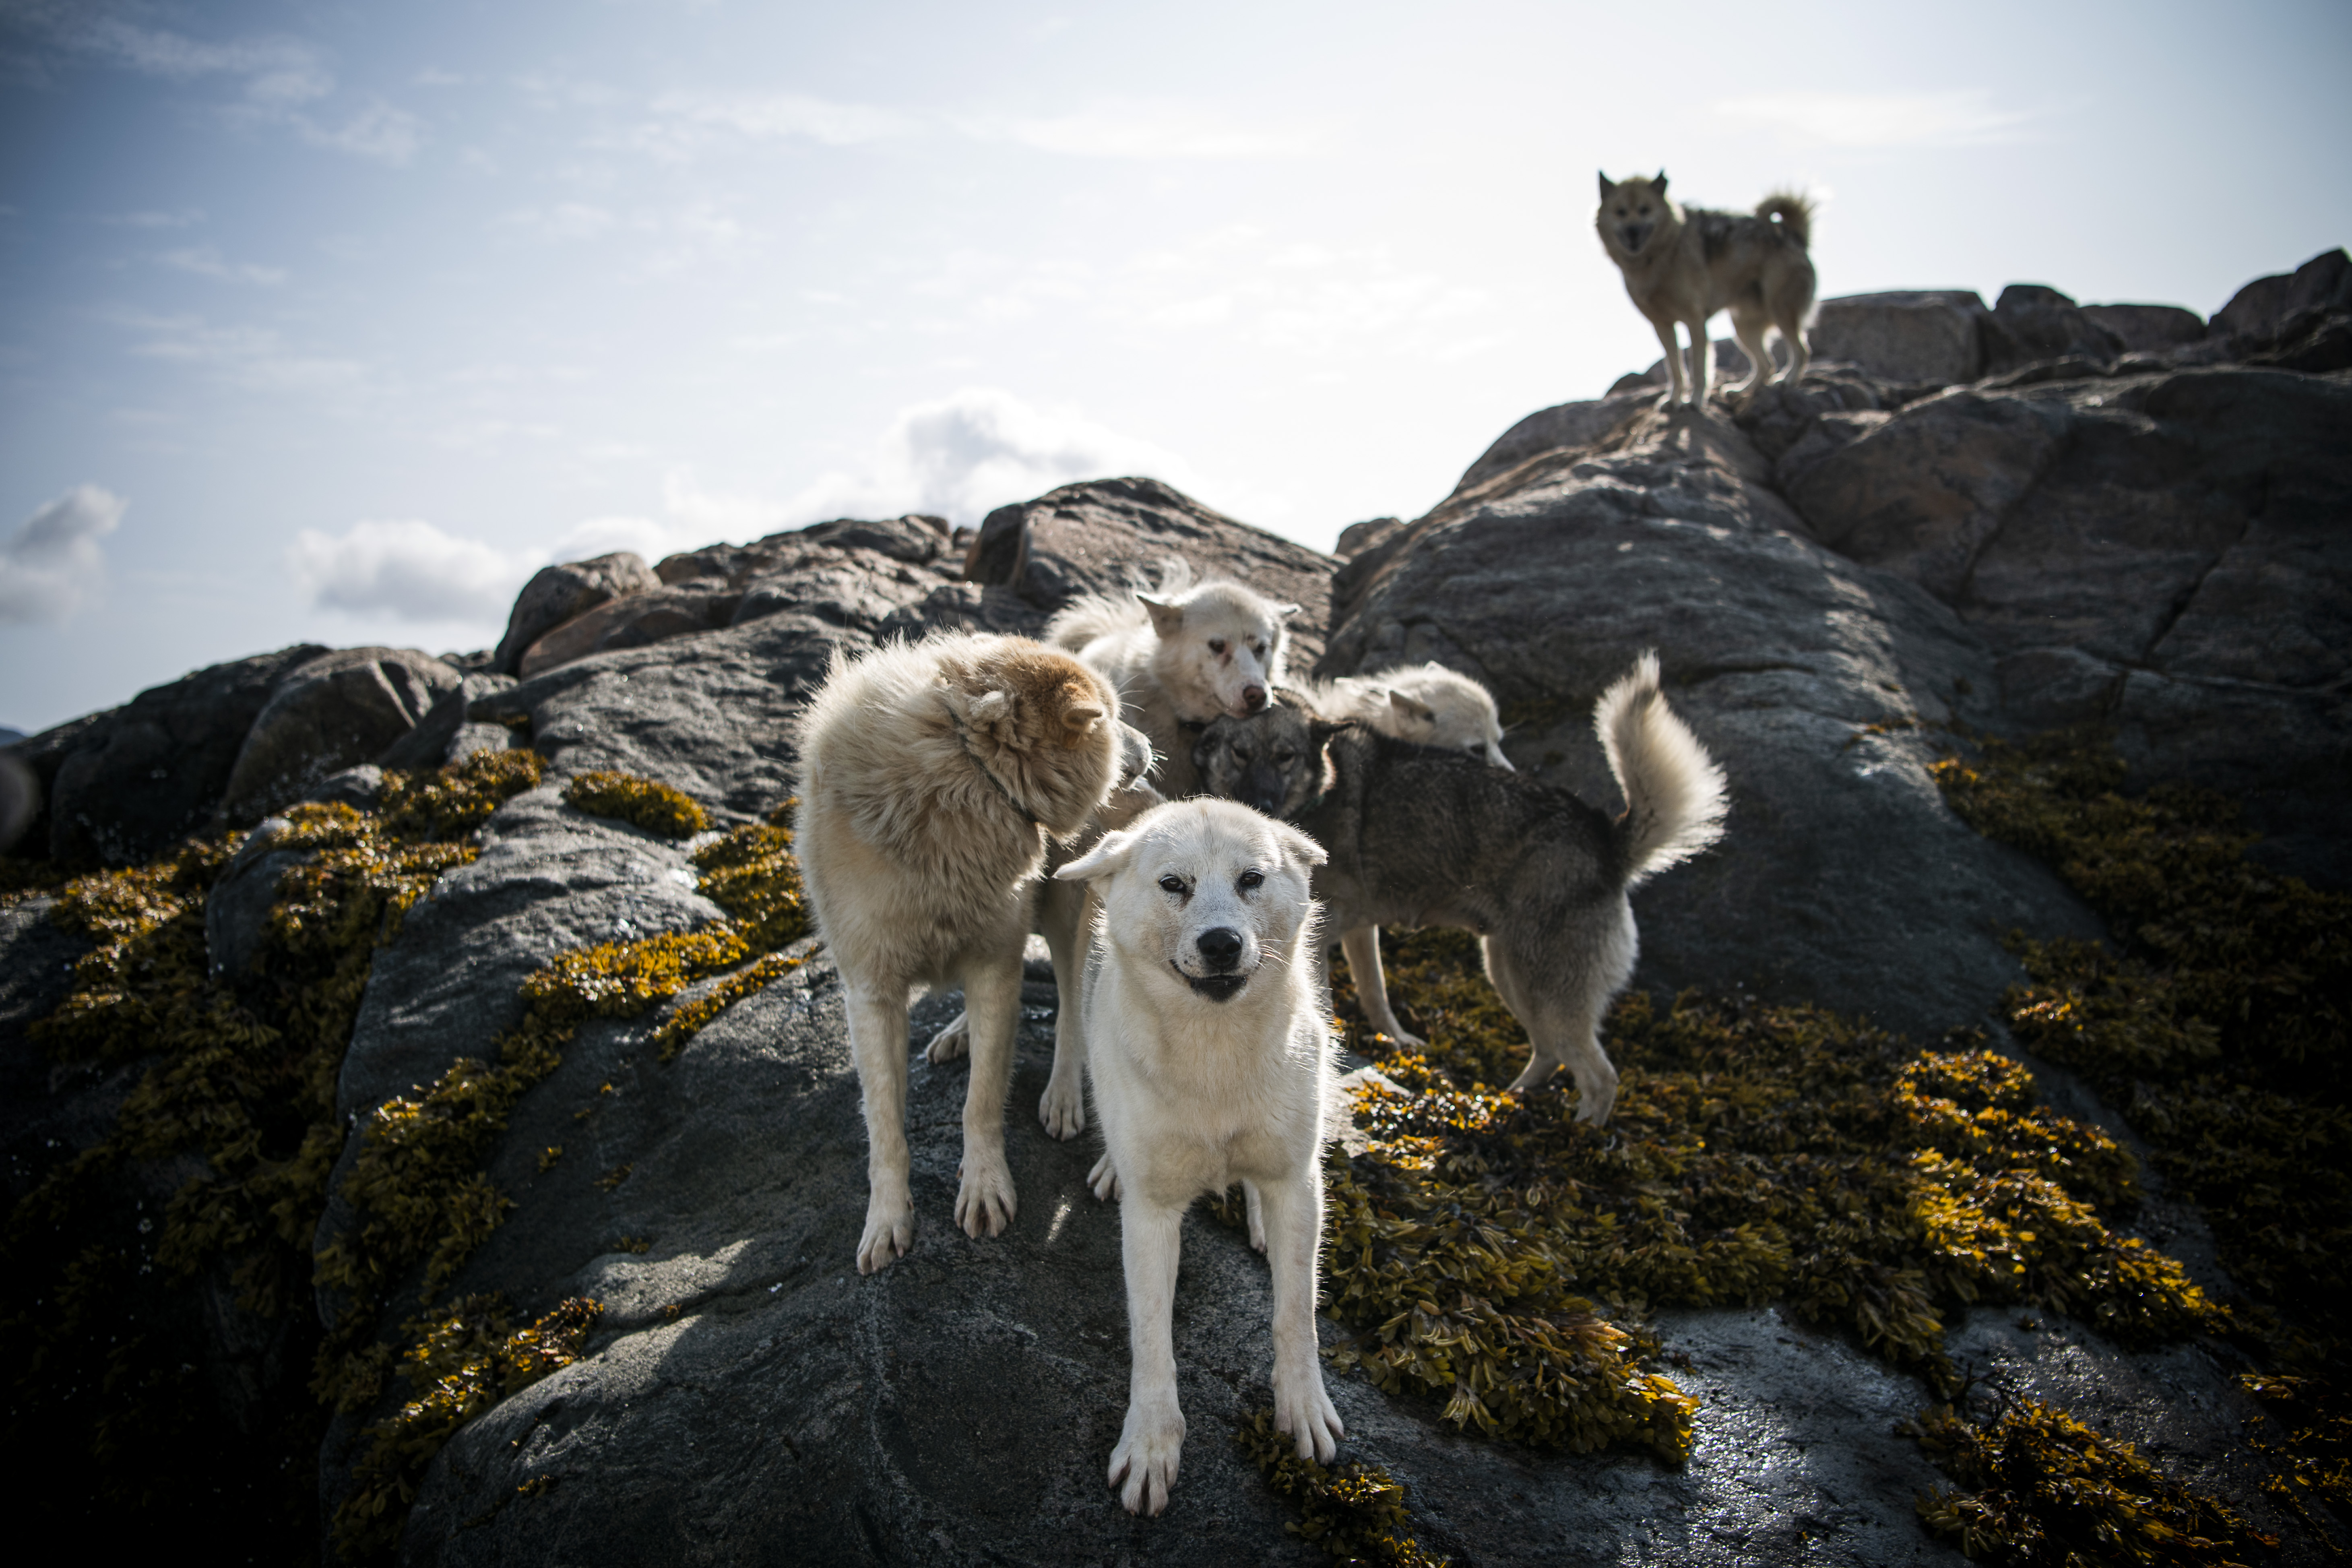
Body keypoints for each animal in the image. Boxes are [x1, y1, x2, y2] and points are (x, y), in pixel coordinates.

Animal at [795, 630, 1152, 1279]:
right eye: (1111, 720)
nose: (1149, 749)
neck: (962, 769)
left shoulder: (996, 964)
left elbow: (981, 1098)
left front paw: (984, 1186)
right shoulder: (870, 990)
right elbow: (883, 1124)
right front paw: (887, 1217)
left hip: (1065, 911)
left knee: (1070, 1011)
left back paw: (1062, 1094)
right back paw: (958, 1031)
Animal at [1053, 804, 1345, 1514]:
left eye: (1251, 879)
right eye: (1172, 884)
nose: (1220, 943)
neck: (1215, 1057)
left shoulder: (1295, 1182)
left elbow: (1296, 1314)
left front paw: (1302, 1405)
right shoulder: (1152, 1213)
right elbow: (1150, 1336)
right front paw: (1151, 1442)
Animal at [1195, 658, 1731, 1124]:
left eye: (1285, 757)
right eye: (1240, 753)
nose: (1259, 805)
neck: (1322, 787)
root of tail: (1605, 836)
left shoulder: (1322, 938)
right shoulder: (1356, 934)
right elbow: (1374, 992)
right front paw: (1394, 1040)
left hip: (1546, 989)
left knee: (1599, 1077)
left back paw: (1582, 1139)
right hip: (1511, 975)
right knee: (1550, 1053)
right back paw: (1512, 1101)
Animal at [1599, 170, 1815, 411]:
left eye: (1645, 210)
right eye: (1620, 212)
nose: (1633, 232)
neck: (1663, 254)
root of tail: (1794, 236)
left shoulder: (1695, 320)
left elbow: (1698, 368)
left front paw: (1694, 401)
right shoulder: (1662, 325)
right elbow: (1675, 368)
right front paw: (1673, 400)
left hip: (1780, 310)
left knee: (1801, 351)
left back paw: (1787, 381)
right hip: (1743, 326)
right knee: (1767, 364)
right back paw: (1743, 390)